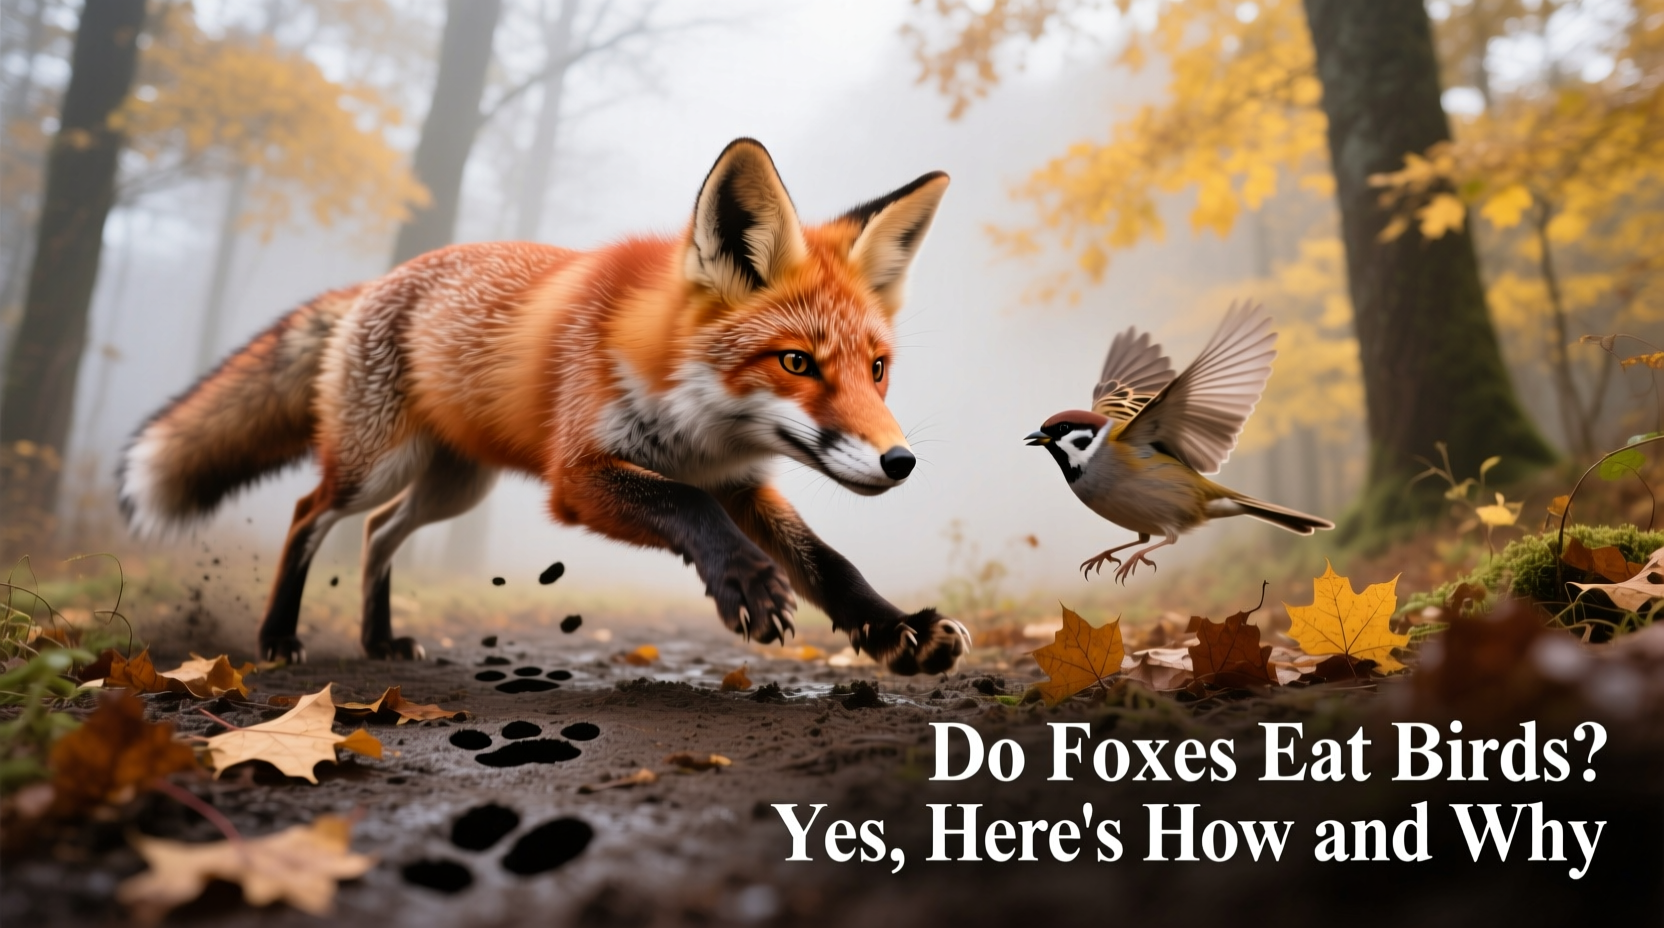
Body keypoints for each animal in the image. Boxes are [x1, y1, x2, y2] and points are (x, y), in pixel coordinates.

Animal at [119, 138, 971, 674]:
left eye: (878, 370)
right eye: (797, 362)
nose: (901, 461)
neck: (699, 428)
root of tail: (375, 283)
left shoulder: (741, 482)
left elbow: (828, 561)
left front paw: (898, 631)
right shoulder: (579, 475)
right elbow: (685, 505)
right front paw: (746, 584)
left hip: (453, 487)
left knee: (377, 532)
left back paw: (380, 641)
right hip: (376, 466)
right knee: (310, 514)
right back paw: (279, 636)